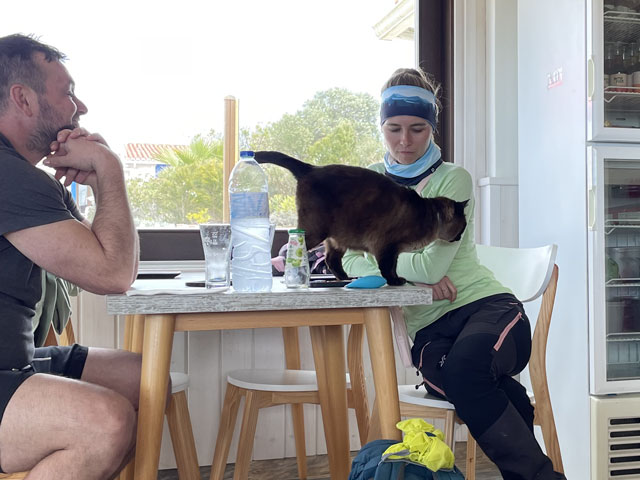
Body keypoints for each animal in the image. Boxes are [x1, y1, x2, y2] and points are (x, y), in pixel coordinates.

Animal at [254, 151, 468, 286]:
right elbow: (387, 269)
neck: (431, 217)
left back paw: (346, 278)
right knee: (294, 250)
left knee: (331, 260)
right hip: (315, 232)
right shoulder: (387, 247)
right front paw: (395, 282)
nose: (460, 237)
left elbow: (393, 267)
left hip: (336, 239)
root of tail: (311, 168)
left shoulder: (394, 251)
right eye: (463, 226)